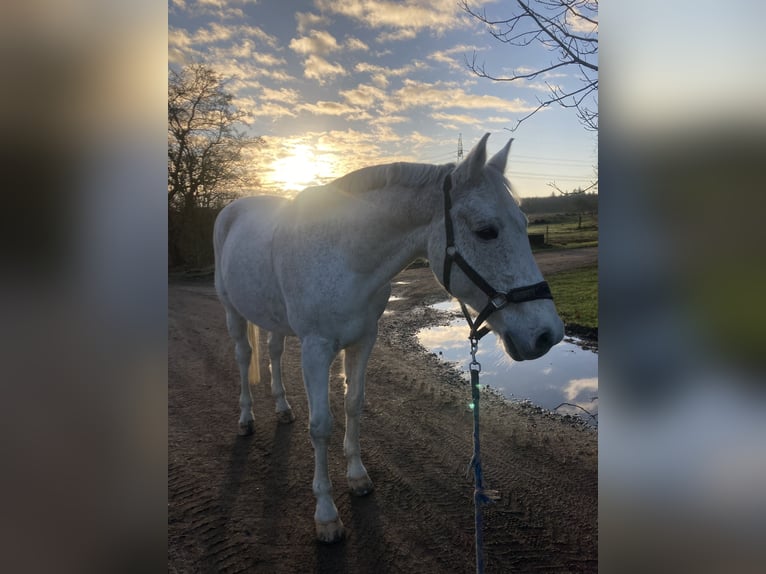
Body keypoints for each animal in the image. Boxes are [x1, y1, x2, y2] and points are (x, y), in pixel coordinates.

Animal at [213, 134, 568, 544]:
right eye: (486, 231)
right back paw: (246, 418)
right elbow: (320, 426)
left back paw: (283, 409)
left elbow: (353, 404)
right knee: (244, 357)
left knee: (272, 352)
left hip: (274, 320)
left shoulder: (363, 340)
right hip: (232, 312)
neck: (345, 254)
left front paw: (357, 477)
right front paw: (326, 514)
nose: (548, 334)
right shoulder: (317, 349)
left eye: (524, 223)